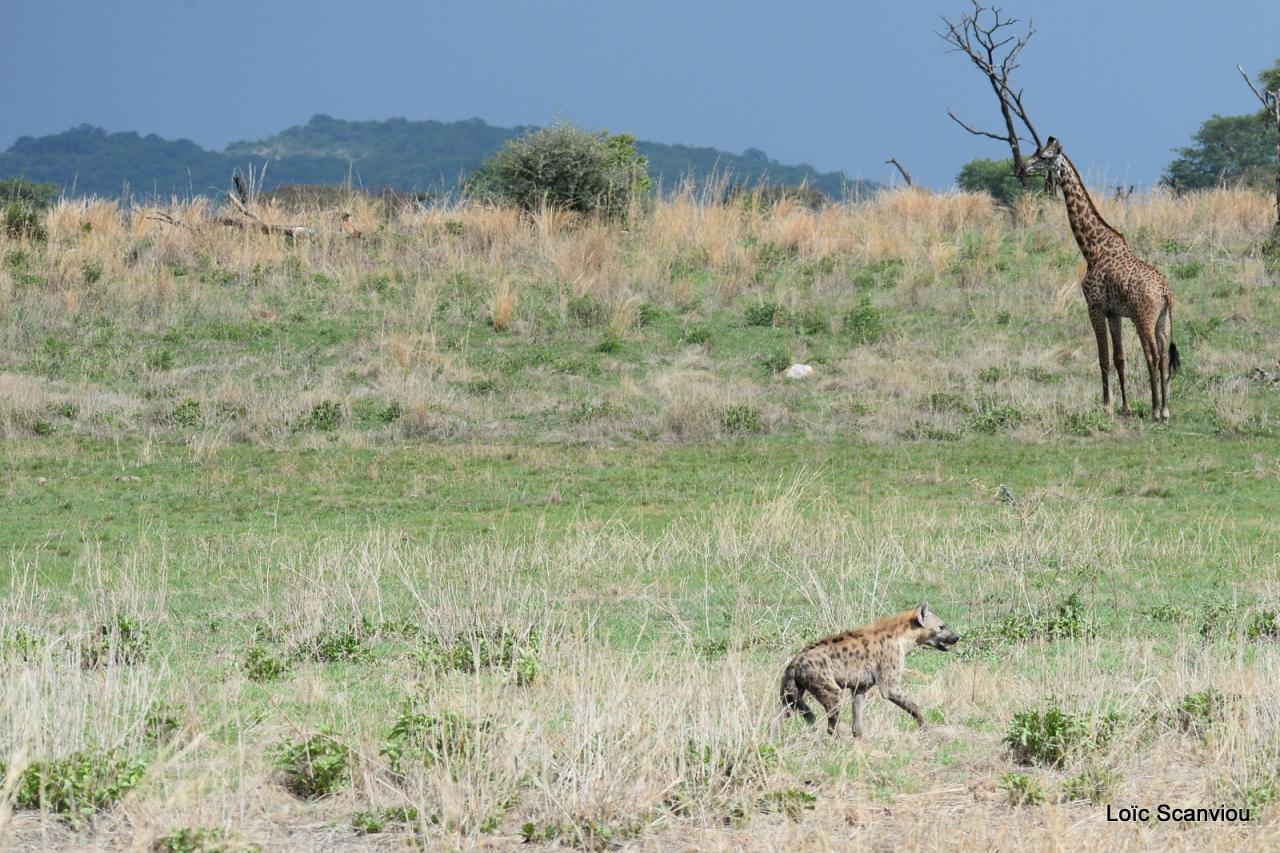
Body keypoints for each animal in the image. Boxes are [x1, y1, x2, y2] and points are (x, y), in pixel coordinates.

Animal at [1018, 137, 1177, 425]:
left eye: (1044, 157)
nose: (1022, 168)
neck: (1092, 248)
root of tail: (1165, 292)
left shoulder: (1094, 307)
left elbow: (1103, 358)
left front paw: (1107, 407)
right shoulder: (1113, 313)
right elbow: (1119, 358)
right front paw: (1125, 408)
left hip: (1143, 317)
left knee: (1151, 355)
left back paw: (1156, 410)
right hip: (1163, 320)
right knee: (1161, 358)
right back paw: (1166, 409)